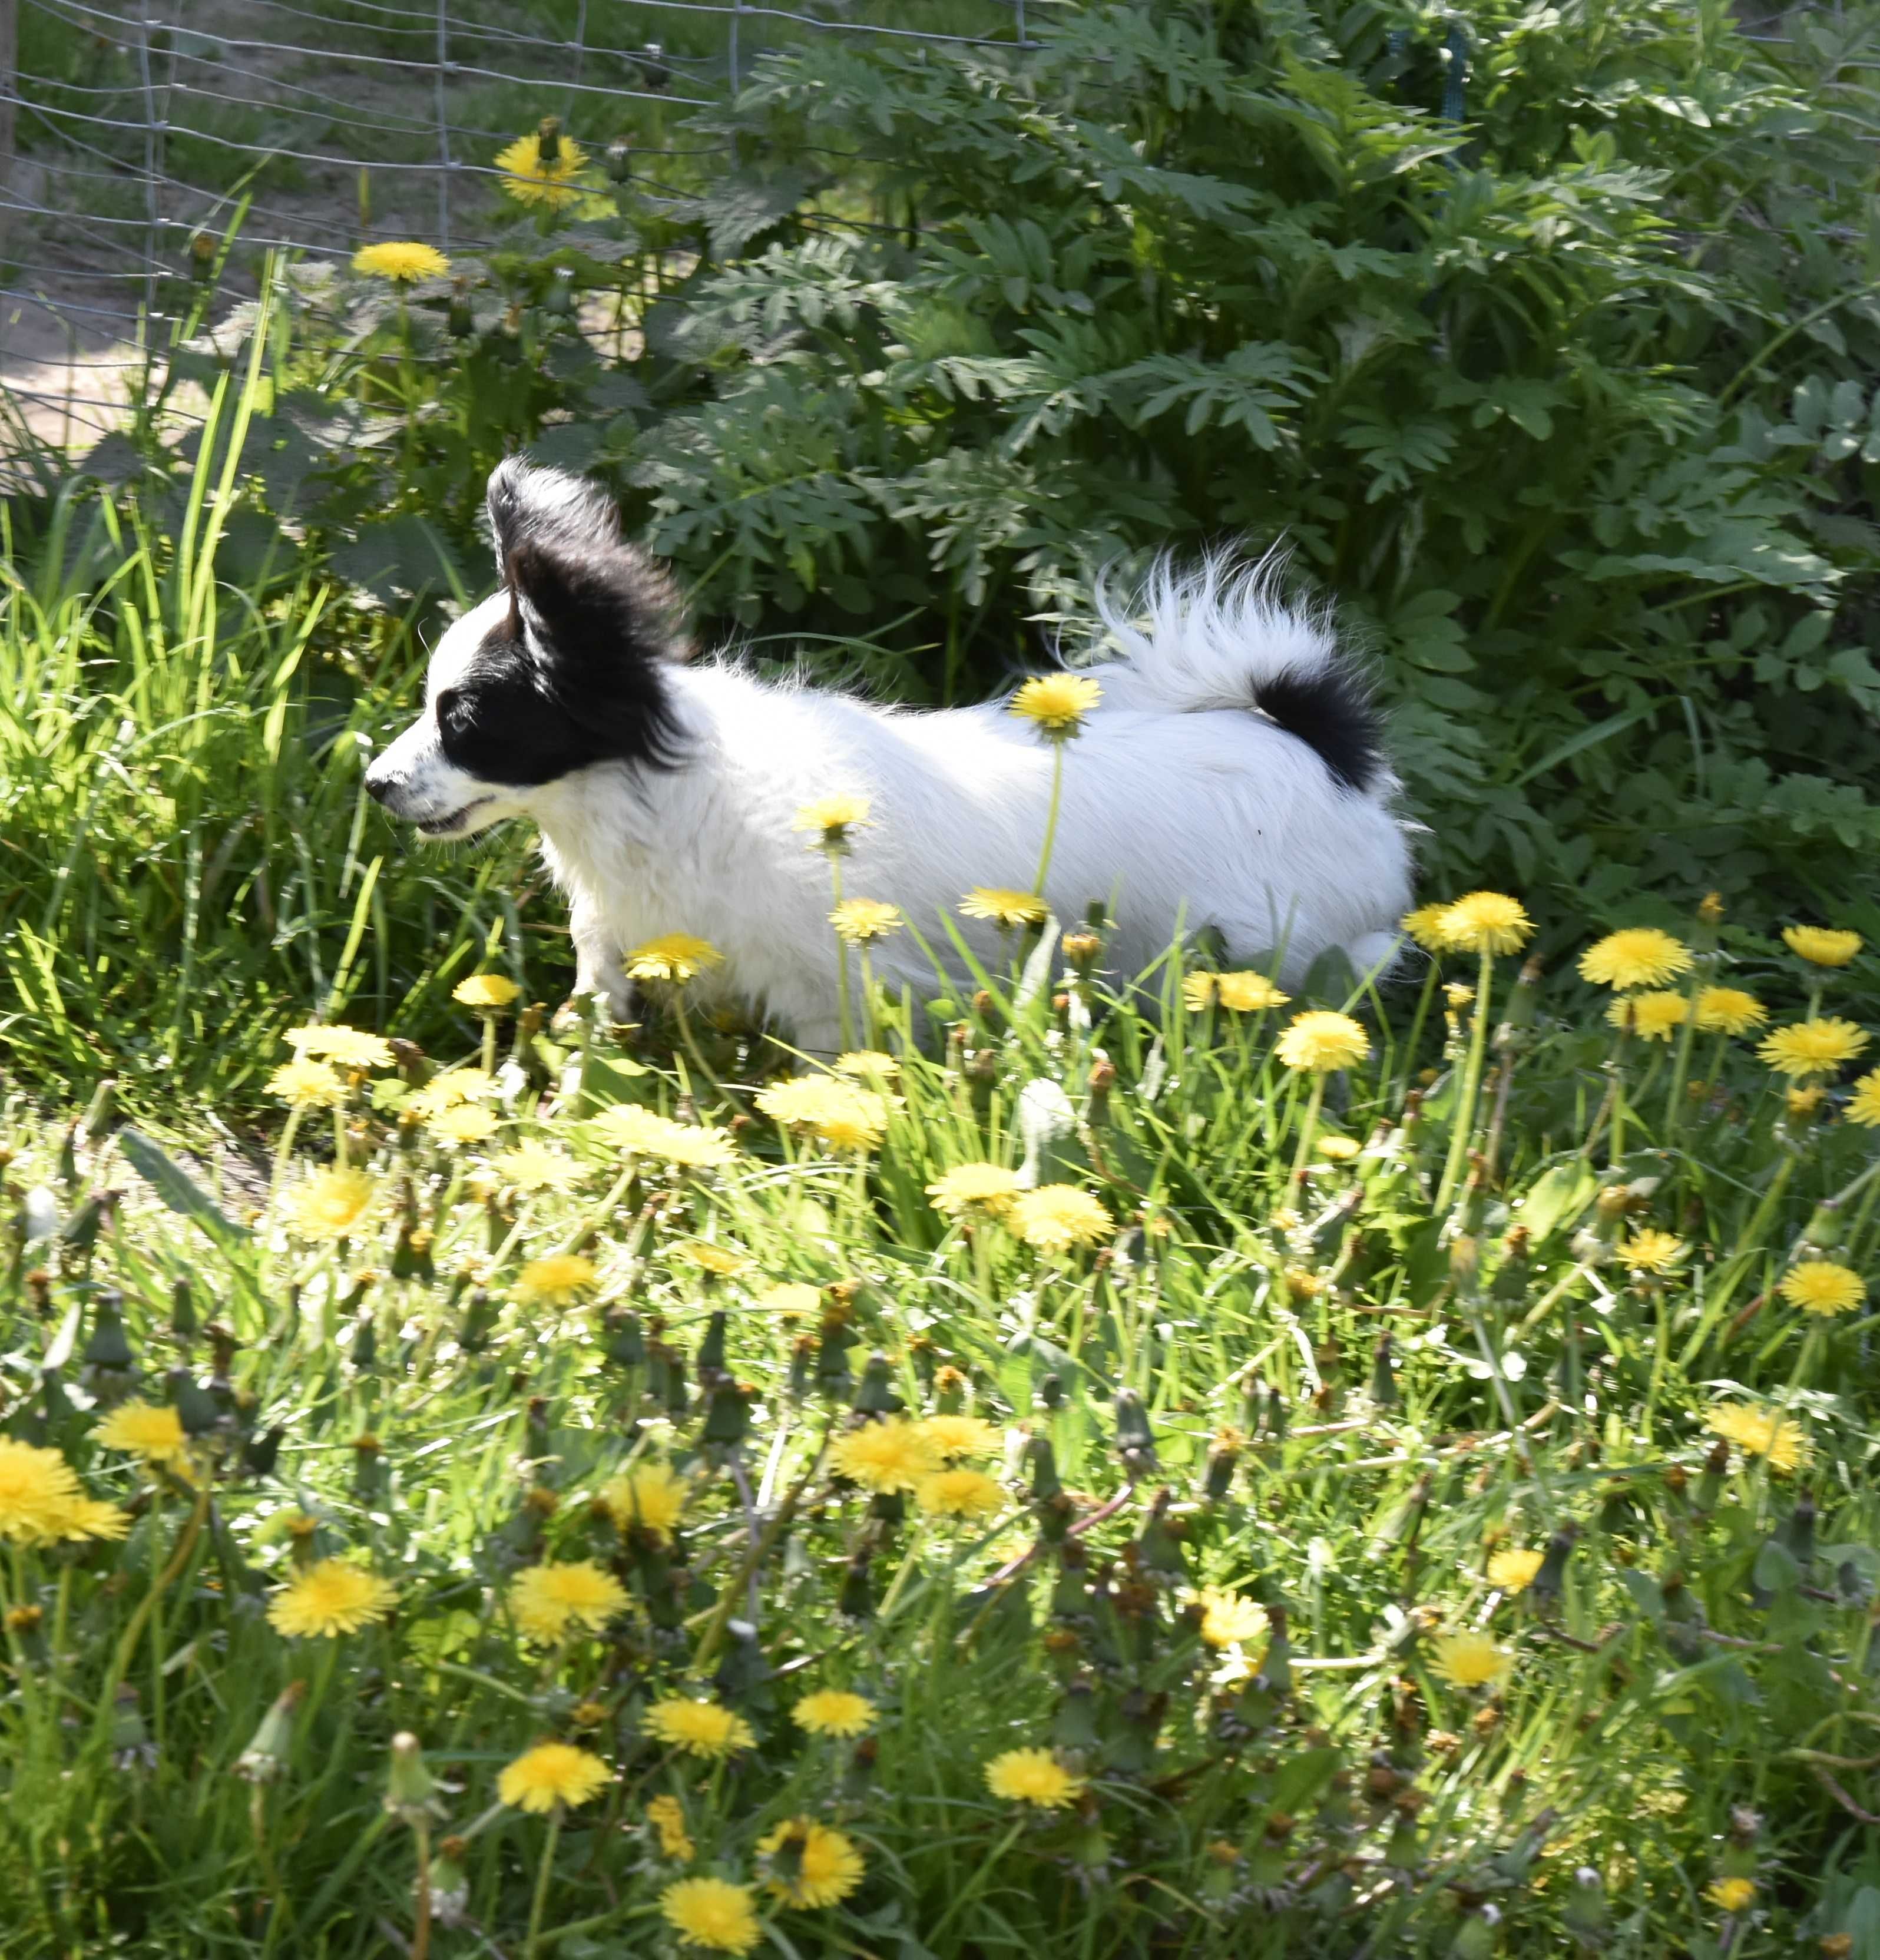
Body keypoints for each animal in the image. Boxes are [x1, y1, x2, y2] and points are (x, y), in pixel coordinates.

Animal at [360, 458, 1411, 1050]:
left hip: (1266, 949)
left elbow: (827, 1069)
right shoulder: (619, 939)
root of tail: (1317, 745)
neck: (647, 790)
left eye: (466, 721)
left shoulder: (831, 987)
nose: (375, 783)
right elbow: (594, 1008)